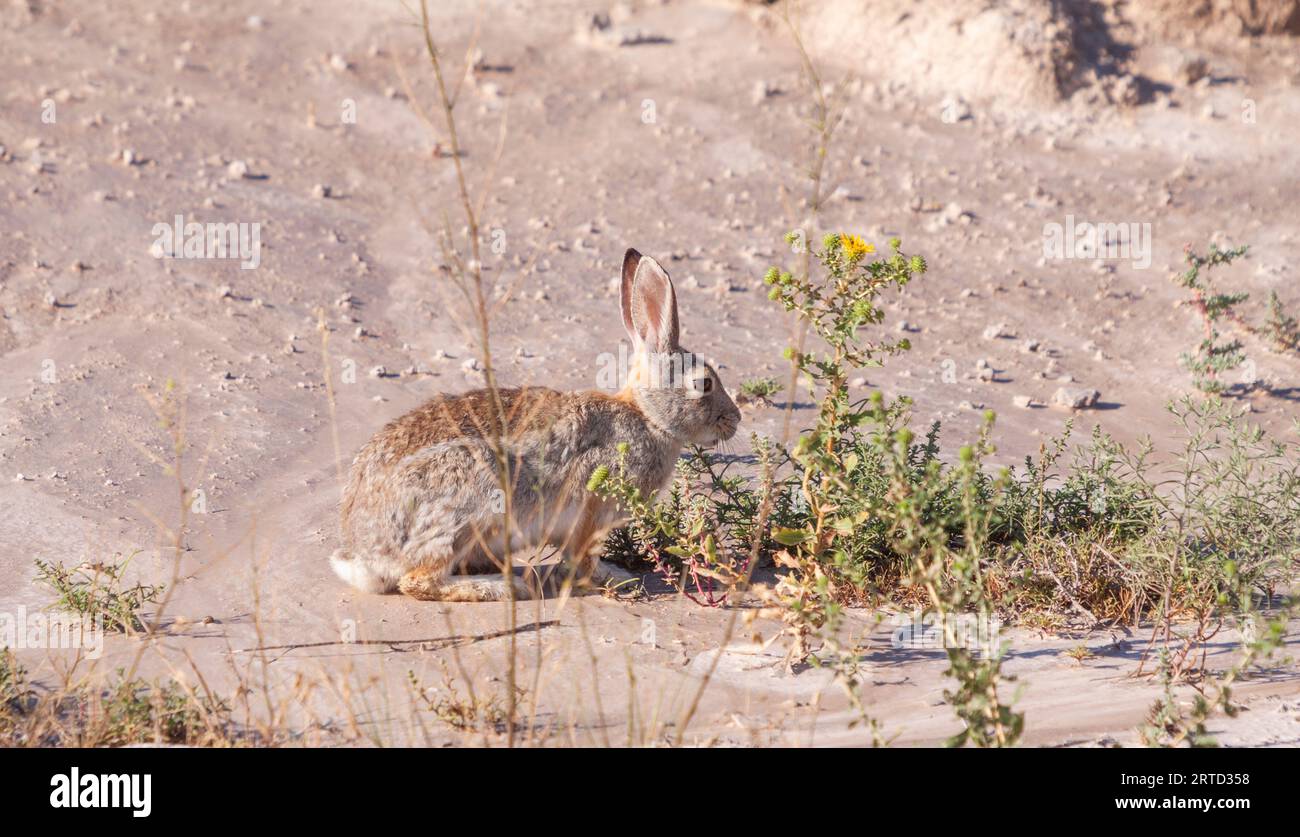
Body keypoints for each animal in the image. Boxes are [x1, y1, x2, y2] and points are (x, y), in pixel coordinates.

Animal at [330, 248, 743, 600]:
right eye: (704, 384)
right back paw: (500, 587)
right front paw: (605, 581)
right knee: (419, 581)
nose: (735, 420)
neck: (647, 417)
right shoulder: (590, 502)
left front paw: (617, 576)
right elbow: (581, 557)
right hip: (468, 502)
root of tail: (369, 553)